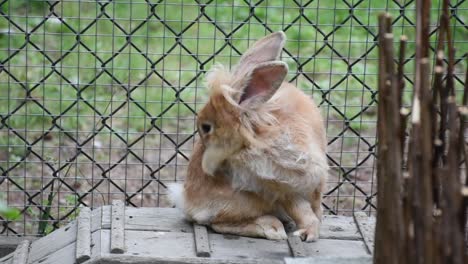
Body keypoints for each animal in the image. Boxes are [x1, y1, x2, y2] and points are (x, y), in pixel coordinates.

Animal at [169, 31, 330, 241]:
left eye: (206, 127)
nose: (207, 167)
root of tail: (186, 201)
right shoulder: (281, 189)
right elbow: (301, 209)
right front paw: (307, 233)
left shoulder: (310, 179)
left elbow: (314, 207)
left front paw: (310, 232)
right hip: (247, 202)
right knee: (218, 223)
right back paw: (273, 228)